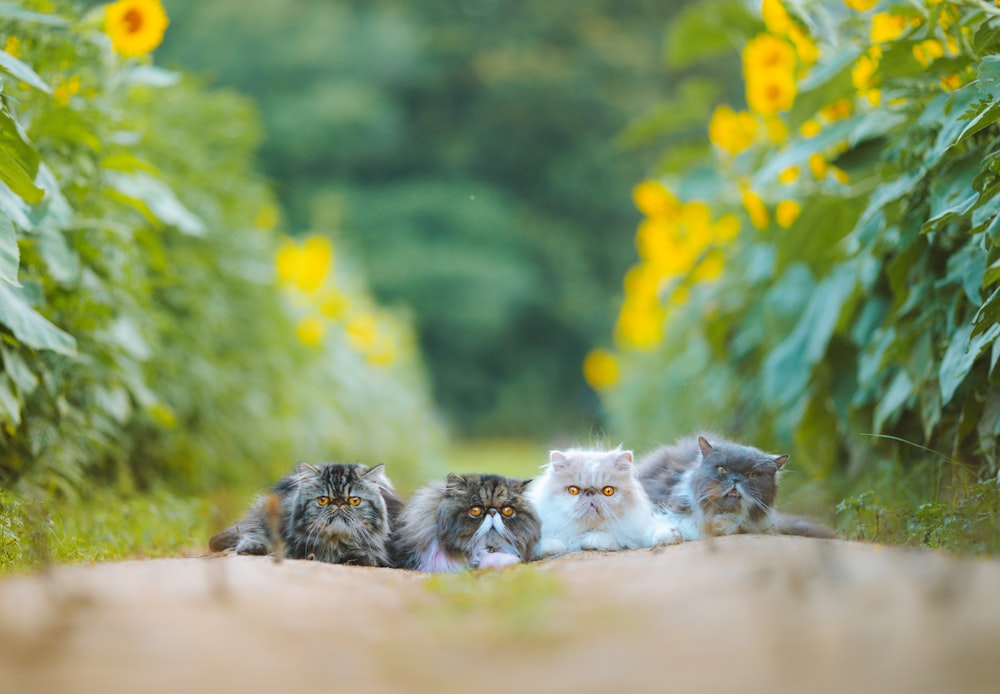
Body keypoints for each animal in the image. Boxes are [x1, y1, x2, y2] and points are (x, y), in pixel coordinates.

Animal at [209, 462, 404, 564]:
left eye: (354, 500)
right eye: (323, 500)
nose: (338, 503)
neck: (331, 543)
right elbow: (260, 537)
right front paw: (252, 547)